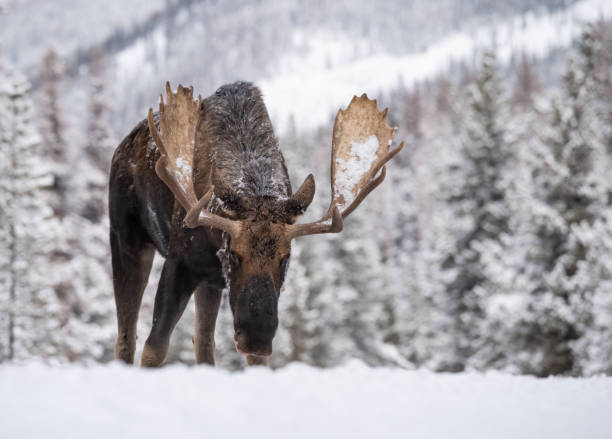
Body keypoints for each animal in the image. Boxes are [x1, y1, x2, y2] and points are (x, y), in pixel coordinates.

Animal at [110, 80, 404, 368]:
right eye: (234, 254)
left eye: (285, 258)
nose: (257, 339)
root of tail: (121, 148)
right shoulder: (179, 261)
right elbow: (154, 347)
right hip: (127, 239)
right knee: (126, 337)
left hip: (209, 284)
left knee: (203, 343)